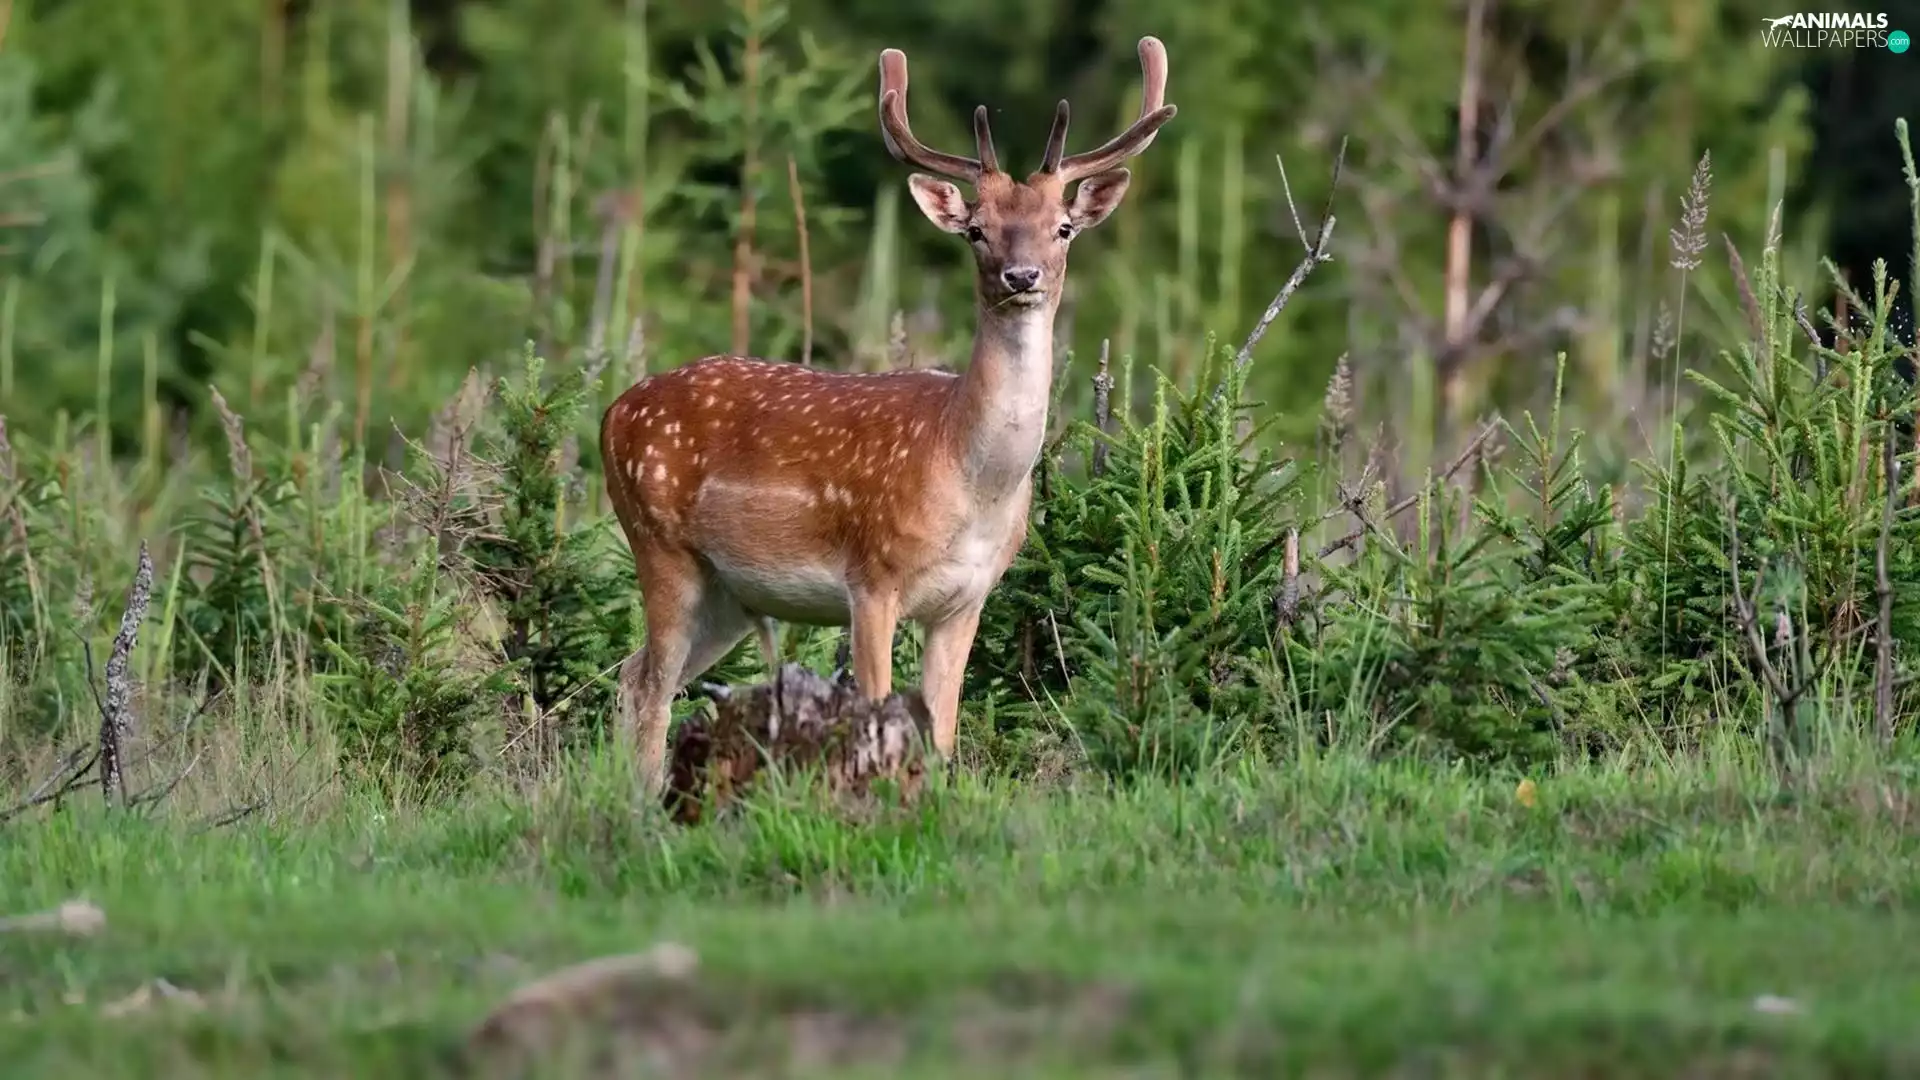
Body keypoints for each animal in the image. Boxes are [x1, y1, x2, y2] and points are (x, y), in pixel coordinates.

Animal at [601, 36, 1176, 795]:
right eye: (977, 231)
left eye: (1062, 227)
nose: (1022, 277)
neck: (972, 480)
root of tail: (611, 413)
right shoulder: (871, 579)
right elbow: (874, 712)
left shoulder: (967, 599)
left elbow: (943, 729)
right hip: (660, 544)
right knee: (651, 684)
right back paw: (641, 799)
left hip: (727, 592)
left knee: (633, 672)